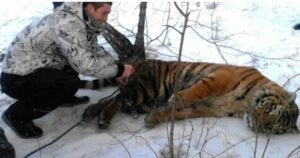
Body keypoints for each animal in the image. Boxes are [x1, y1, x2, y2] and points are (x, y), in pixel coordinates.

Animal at [82, 59, 300, 134]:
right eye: (270, 109)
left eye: (273, 128)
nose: (255, 123)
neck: (244, 106)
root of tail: (141, 61)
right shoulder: (220, 77)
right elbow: (195, 92)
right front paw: (176, 98)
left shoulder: (207, 108)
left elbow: (176, 113)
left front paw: (153, 119)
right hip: (145, 88)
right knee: (118, 97)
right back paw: (98, 116)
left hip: (147, 100)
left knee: (117, 100)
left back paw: (95, 115)